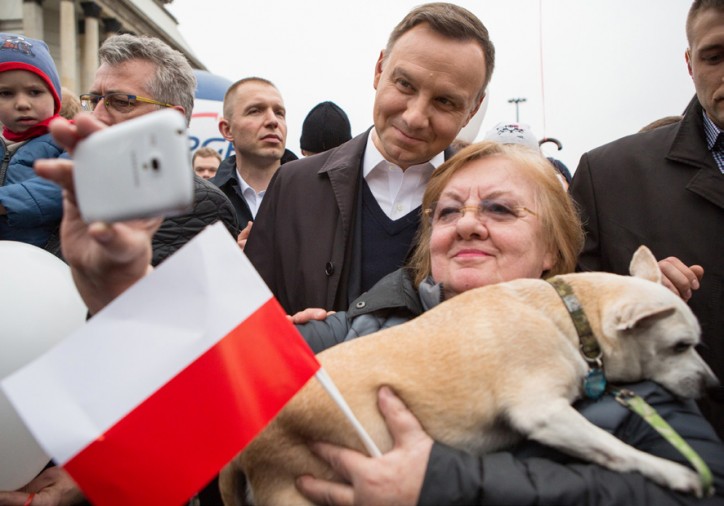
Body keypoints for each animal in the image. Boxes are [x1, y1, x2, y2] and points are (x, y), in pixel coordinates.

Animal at [222, 247, 720, 504]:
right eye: (681, 346)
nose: (714, 385)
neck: (570, 310)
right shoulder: (544, 412)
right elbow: (615, 450)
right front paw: (674, 472)